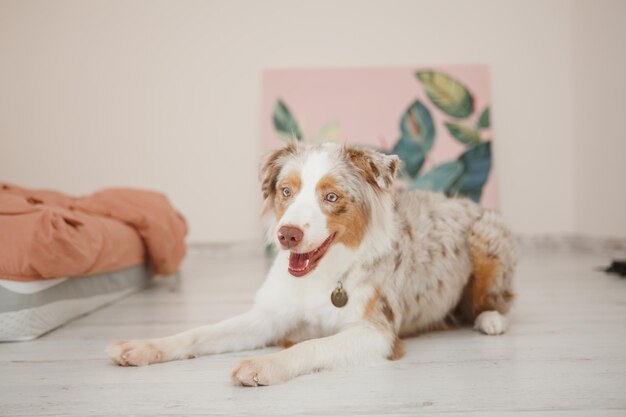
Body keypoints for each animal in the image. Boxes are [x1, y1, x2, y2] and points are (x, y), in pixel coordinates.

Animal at [108, 141, 516, 386]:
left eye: (331, 197)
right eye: (286, 191)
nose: (286, 235)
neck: (322, 276)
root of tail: (461, 199)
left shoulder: (377, 333)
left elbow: (311, 346)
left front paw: (264, 365)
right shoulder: (269, 316)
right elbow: (200, 333)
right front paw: (142, 347)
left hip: (486, 234)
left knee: (496, 302)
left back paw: (490, 320)